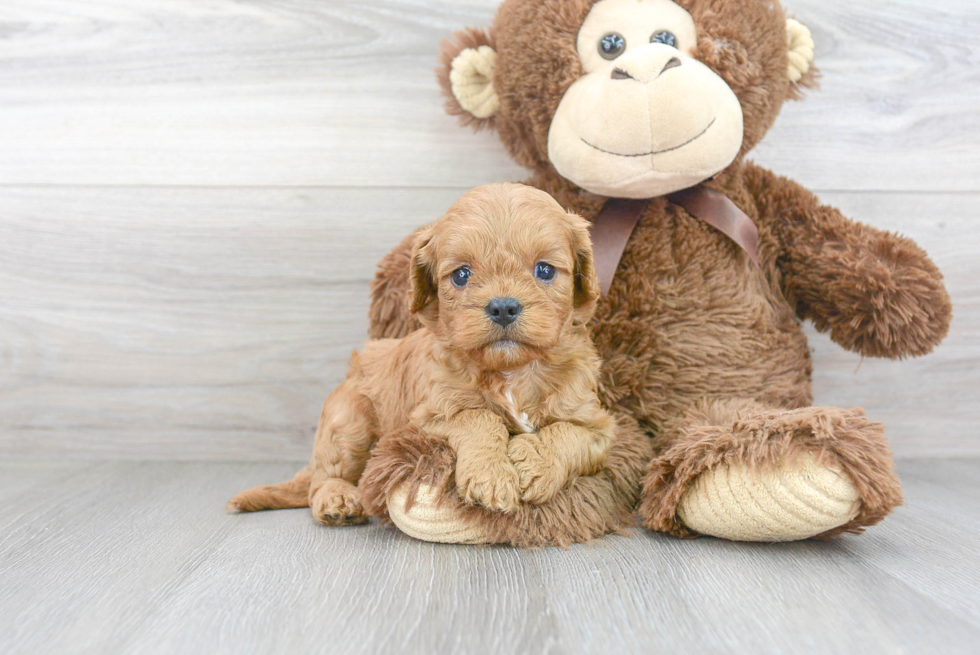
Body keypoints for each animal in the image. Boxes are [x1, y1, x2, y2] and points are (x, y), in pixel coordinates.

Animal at [226, 183, 616, 528]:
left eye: (544, 270)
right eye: (461, 275)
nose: (503, 307)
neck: (511, 372)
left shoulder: (599, 426)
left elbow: (568, 434)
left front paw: (536, 465)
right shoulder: (426, 419)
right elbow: (477, 417)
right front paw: (490, 477)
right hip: (348, 421)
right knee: (322, 478)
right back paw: (337, 501)